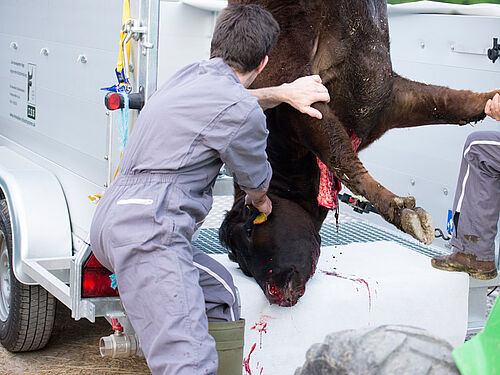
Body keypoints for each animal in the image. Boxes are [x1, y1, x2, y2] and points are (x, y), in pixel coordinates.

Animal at [219, 0, 500, 308]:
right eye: (239, 261)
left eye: (249, 230)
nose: (274, 292)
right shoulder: (389, 98)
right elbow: (450, 102)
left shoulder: (299, 93)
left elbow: (341, 157)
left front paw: (402, 211)